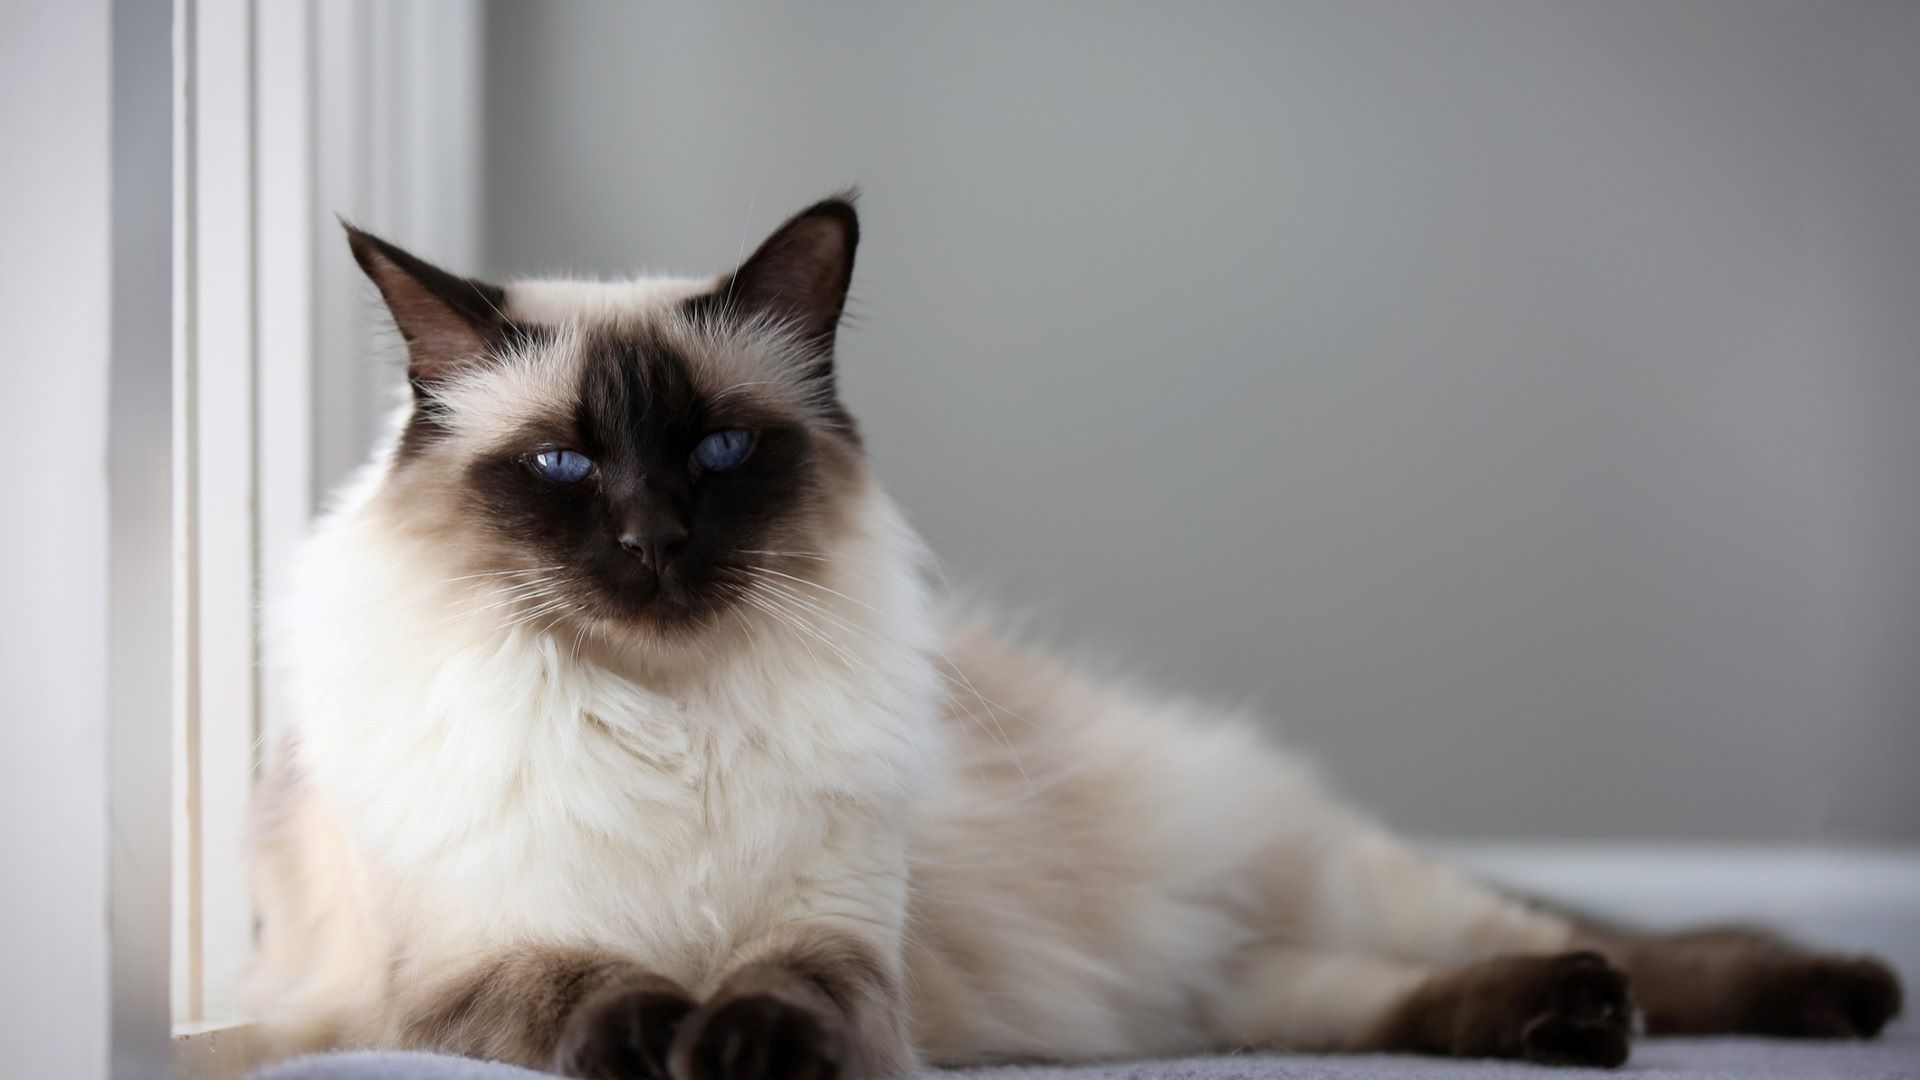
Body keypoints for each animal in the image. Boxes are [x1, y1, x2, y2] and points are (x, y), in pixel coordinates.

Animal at [255, 193, 1904, 1076]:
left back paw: (1811, 997)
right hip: (1211, 992)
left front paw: (734, 1048)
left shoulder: (842, 941)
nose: (654, 544)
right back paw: (1569, 1022)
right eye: (563, 468)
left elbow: (783, 991)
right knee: (1368, 998)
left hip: (1331, 887)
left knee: (1607, 948)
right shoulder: (460, 965)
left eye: (718, 456)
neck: (660, 715)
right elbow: (591, 990)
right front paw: (672, 1032)